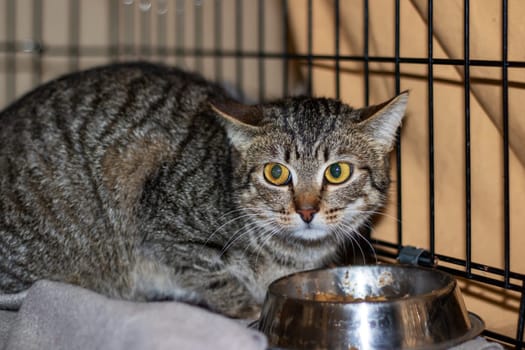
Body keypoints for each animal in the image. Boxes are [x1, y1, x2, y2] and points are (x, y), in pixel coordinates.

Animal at [0, 61, 408, 318]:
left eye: (337, 171)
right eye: (276, 173)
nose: (306, 211)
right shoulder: (165, 229)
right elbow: (212, 275)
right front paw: (247, 308)